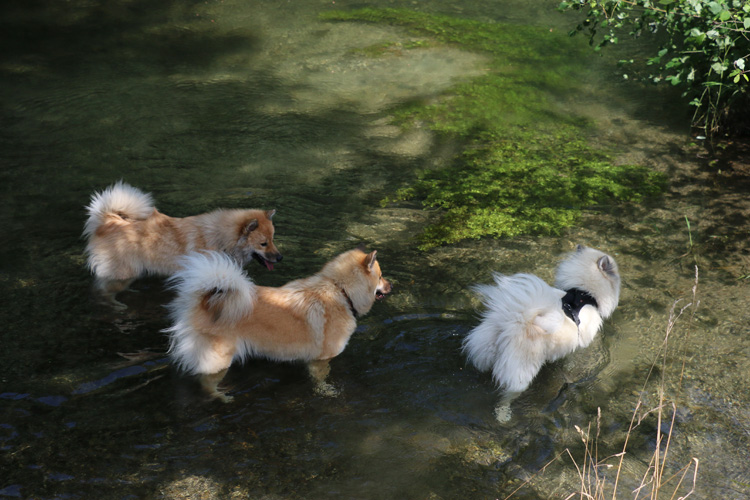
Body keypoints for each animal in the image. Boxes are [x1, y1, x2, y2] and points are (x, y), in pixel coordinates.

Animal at [83, 182, 282, 308]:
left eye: (273, 239)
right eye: (263, 244)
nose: (280, 257)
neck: (222, 239)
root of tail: (107, 221)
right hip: (123, 273)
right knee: (102, 292)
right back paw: (117, 305)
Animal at [162, 247, 390, 402]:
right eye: (380, 276)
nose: (392, 285)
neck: (341, 292)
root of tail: (200, 302)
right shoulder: (321, 360)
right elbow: (321, 381)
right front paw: (326, 391)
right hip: (218, 358)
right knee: (206, 383)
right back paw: (221, 396)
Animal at [464, 245, 624, 418]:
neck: (582, 293)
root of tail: (512, 322)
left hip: (484, 353)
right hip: (521, 374)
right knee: (507, 395)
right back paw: (503, 415)